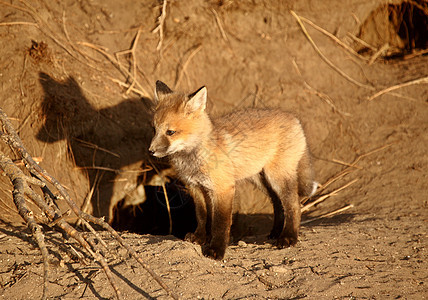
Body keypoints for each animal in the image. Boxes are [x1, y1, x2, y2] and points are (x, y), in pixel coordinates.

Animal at [149, 81, 316, 258]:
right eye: (154, 129)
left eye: (170, 132)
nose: (150, 151)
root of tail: (293, 117)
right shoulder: (196, 187)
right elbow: (202, 215)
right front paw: (200, 237)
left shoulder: (223, 188)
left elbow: (220, 222)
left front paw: (216, 249)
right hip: (261, 180)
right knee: (278, 204)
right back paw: (276, 232)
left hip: (277, 177)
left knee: (294, 204)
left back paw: (289, 237)